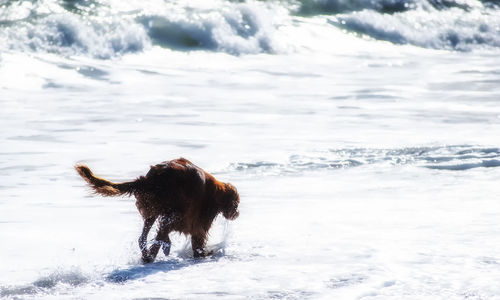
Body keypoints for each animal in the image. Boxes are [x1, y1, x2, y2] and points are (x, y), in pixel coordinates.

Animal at [74, 158, 240, 264]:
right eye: (236, 204)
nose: (237, 214)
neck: (216, 192)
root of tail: (148, 180)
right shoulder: (199, 224)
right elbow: (198, 241)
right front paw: (203, 254)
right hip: (175, 210)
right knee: (161, 234)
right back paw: (157, 252)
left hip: (152, 211)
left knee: (145, 237)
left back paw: (149, 254)